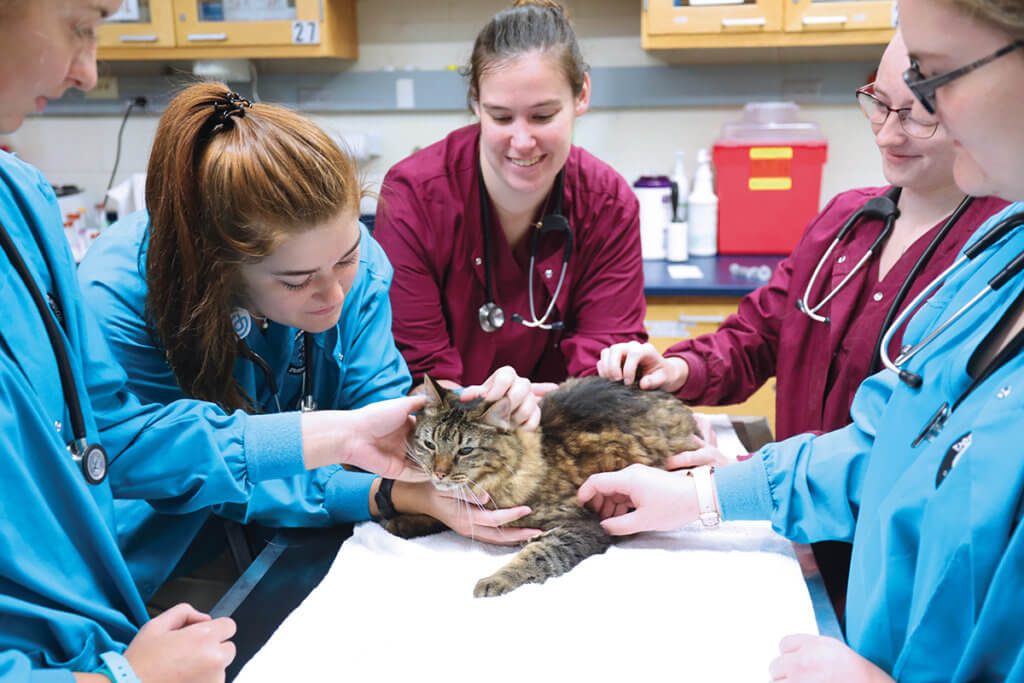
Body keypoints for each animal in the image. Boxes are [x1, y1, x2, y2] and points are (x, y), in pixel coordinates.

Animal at [385, 374, 704, 598]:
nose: (438, 473)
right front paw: (403, 521)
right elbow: (439, 517)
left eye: (465, 451)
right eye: (430, 445)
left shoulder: (580, 526)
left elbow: (537, 555)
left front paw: (496, 580)